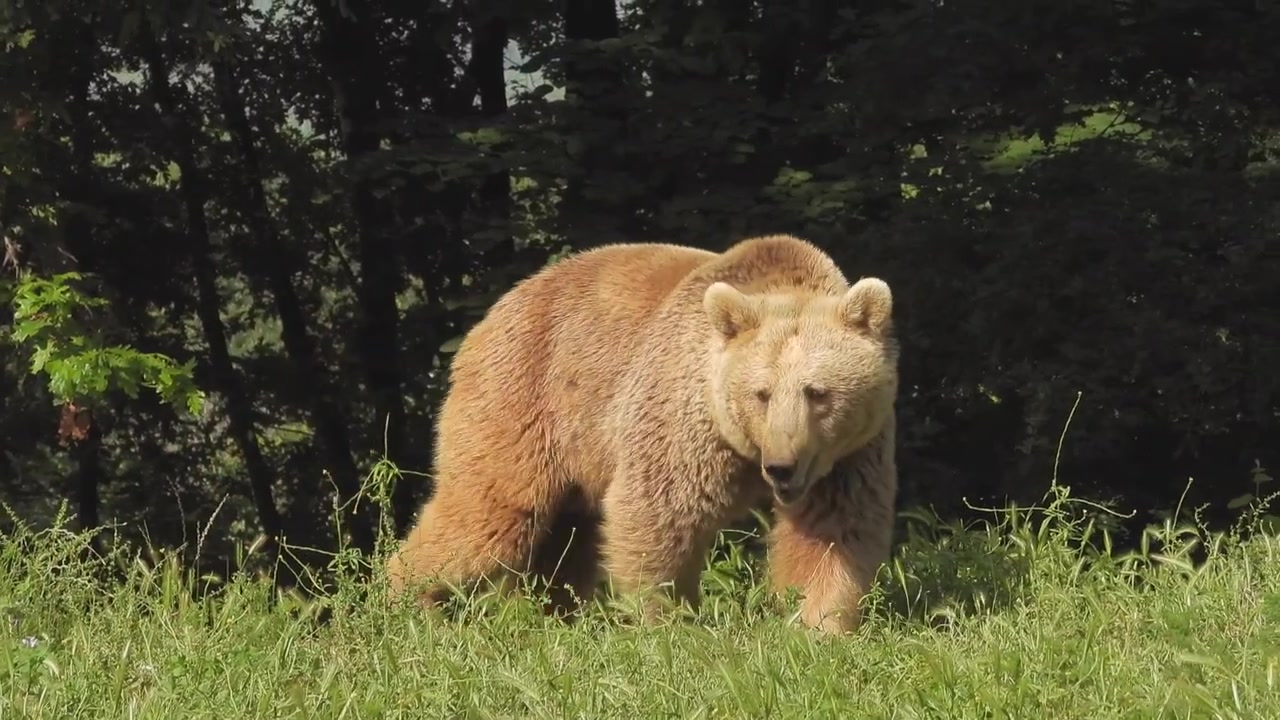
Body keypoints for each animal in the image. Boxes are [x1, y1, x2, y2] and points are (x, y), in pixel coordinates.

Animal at [385, 233, 899, 634]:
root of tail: (493, 313)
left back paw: (556, 614)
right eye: (761, 393)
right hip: (523, 399)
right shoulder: (682, 416)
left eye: (817, 392)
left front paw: (819, 625)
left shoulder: (848, 456)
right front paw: (670, 621)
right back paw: (409, 601)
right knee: (489, 511)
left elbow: (834, 531)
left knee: (563, 542)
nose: (781, 467)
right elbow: (660, 512)